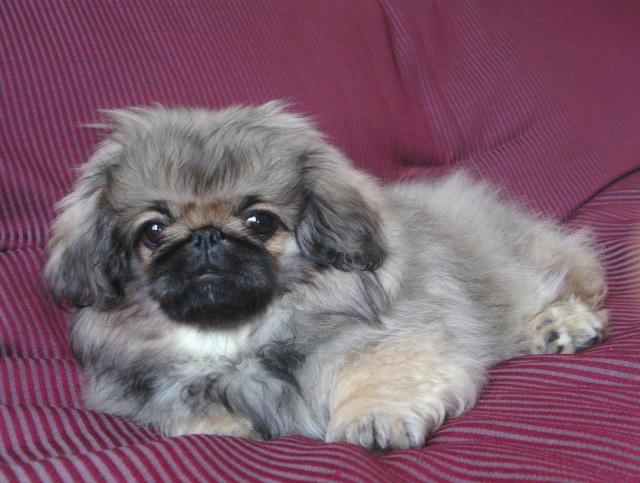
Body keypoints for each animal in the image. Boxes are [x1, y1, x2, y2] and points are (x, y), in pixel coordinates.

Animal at [45, 101, 608, 451]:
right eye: (154, 230)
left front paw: (372, 418)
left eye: (259, 221)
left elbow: (377, 378)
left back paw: (560, 326)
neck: (236, 336)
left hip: (511, 268)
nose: (206, 237)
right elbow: (194, 418)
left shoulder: (401, 340)